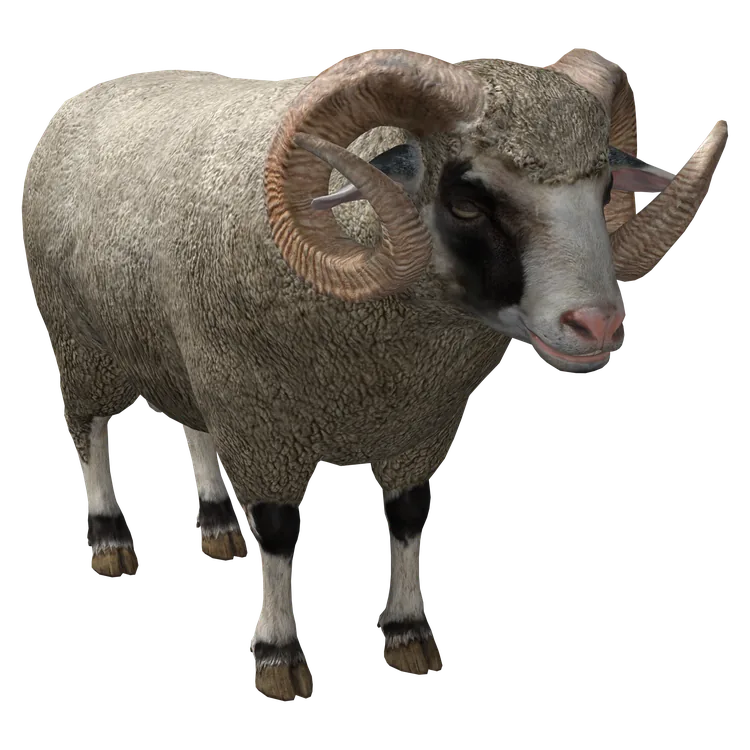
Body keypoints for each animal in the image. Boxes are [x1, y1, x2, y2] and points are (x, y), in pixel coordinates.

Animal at [20, 48, 727, 701]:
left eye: (605, 193)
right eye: (466, 201)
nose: (598, 326)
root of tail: (102, 87)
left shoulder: (415, 424)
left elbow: (409, 517)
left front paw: (409, 636)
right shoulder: (263, 416)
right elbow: (278, 530)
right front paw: (278, 656)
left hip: (176, 346)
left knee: (192, 424)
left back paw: (218, 524)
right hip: (80, 341)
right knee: (89, 430)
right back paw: (110, 539)